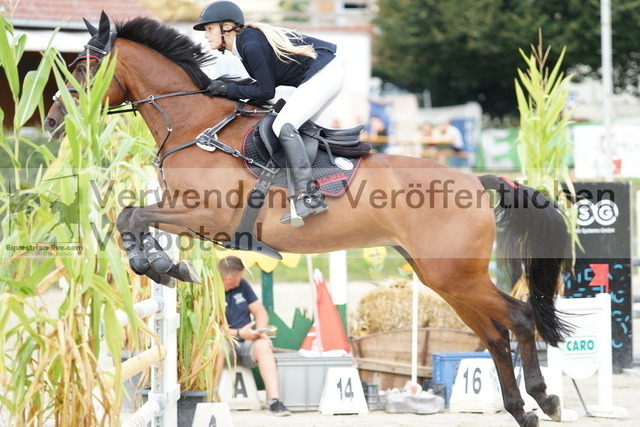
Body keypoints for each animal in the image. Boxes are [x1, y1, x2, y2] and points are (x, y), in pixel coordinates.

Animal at [45, 12, 572, 426]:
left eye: (83, 67)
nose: (52, 121)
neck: (195, 125)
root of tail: (476, 180)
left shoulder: (204, 213)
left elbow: (133, 213)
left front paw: (159, 264)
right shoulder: (187, 216)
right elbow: (129, 216)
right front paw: (161, 264)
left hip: (456, 274)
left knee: (519, 318)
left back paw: (544, 399)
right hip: (443, 277)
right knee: (494, 335)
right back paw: (522, 409)